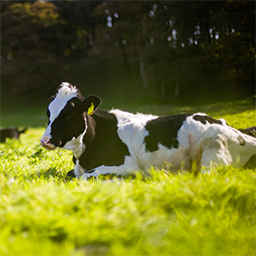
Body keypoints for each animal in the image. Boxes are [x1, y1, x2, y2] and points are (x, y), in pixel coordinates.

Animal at [41, 83, 256, 179]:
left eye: (69, 113)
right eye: (48, 111)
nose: (45, 140)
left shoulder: (126, 164)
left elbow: (86, 177)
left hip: (214, 150)